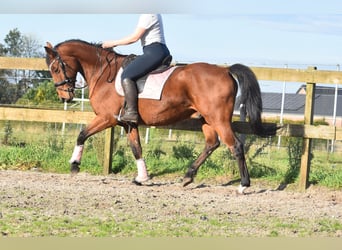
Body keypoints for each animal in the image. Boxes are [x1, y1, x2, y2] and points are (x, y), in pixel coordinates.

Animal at [44, 39, 276, 193]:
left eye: (55, 68)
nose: (64, 96)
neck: (103, 73)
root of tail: (225, 71)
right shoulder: (128, 124)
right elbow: (136, 148)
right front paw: (142, 177)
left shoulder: (107, 118)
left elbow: (82, 134)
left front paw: (74, 164)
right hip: (206, 119)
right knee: (212, 144)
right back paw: (187, 176)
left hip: (218, 119)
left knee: (235, 146)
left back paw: (243, 185)